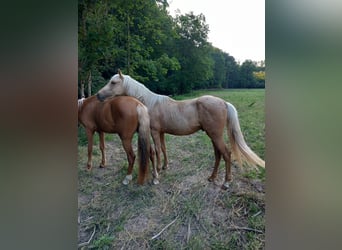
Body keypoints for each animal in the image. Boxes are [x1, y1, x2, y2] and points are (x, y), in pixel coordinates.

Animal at [96, 69, 264, 188]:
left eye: (113, 82)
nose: (98, 95)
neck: (150, 103)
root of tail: (223, 102)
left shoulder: (154, 132)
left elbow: (156, 150)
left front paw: (156, 175)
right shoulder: (161, 133)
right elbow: (163, 148)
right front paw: (165, 166)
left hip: (215, 135)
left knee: (227, 154)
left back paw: (226, 182)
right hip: (213, 135)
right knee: (218, 155)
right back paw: (212, 178)